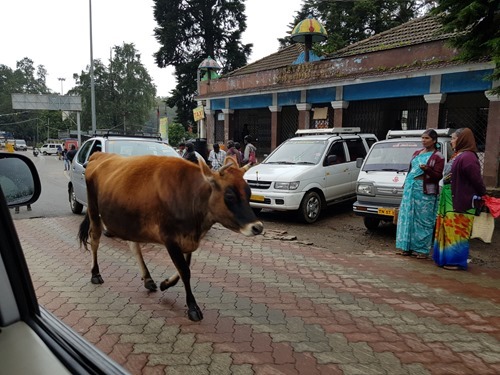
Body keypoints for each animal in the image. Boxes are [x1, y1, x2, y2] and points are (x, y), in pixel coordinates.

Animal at [78, 153, 264, 320]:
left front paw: (165, 283)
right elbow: (184, 270)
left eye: (249, 193)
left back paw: (148, 279)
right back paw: (95, 274)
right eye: (230, 195)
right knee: (95, 239)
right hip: (94, 209)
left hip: (130, 220)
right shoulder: (170, 239)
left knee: (133, 245)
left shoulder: (189, 238)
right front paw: (193, 307)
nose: (258, 227)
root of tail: (100, 155)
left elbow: (183, 268)